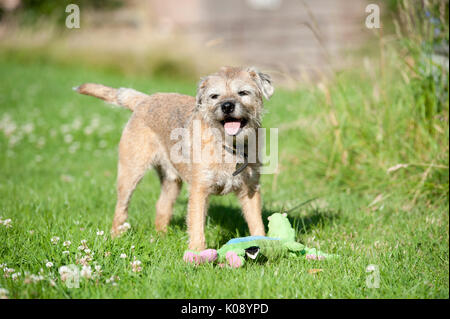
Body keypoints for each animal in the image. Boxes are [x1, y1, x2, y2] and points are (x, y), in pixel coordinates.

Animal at [75, 66, 274, 251]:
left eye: (243, 92)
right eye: (214, 96)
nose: (226, 106)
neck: (229, 147)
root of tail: (144, 100)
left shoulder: (250, 190)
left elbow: (256, 222)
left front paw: (264, 245)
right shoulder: (199, 190)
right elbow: (196, 224)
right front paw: (197, 253)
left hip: (171, 181)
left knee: (162, 206)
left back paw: (160, 237)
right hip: (130, 172)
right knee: (121, 208)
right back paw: (116, 237)